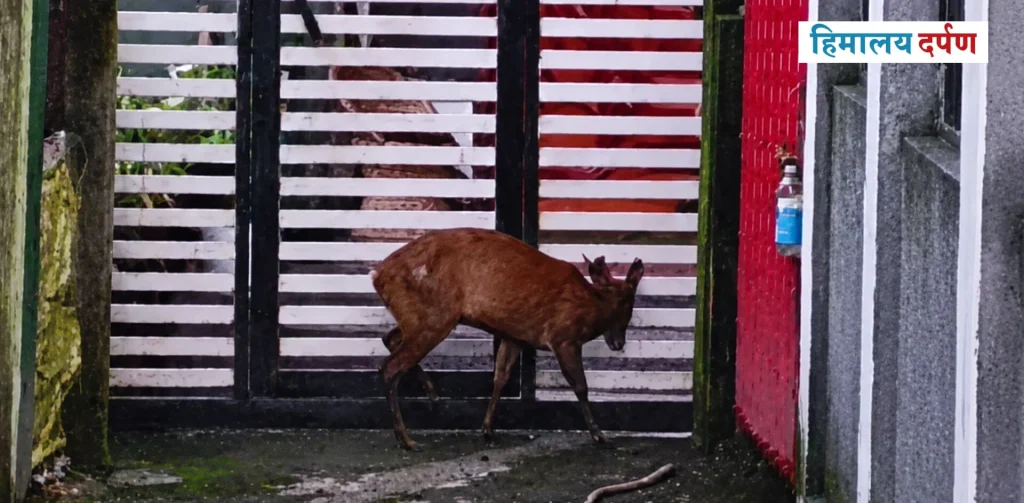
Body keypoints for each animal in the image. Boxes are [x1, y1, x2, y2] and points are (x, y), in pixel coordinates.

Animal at [369, 227, 645, 451]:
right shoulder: (563, 336)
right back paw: (406, 439)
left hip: (420, 317)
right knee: (390, 366)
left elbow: (500, 378)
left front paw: (487, 429)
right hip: (433, 318)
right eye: (627, 303)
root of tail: (377, 276)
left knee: (389, 339)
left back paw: (432, 393)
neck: (590, 306)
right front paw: (599, 435)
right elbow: (580, 385)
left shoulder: (515, 336)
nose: (619, 344)